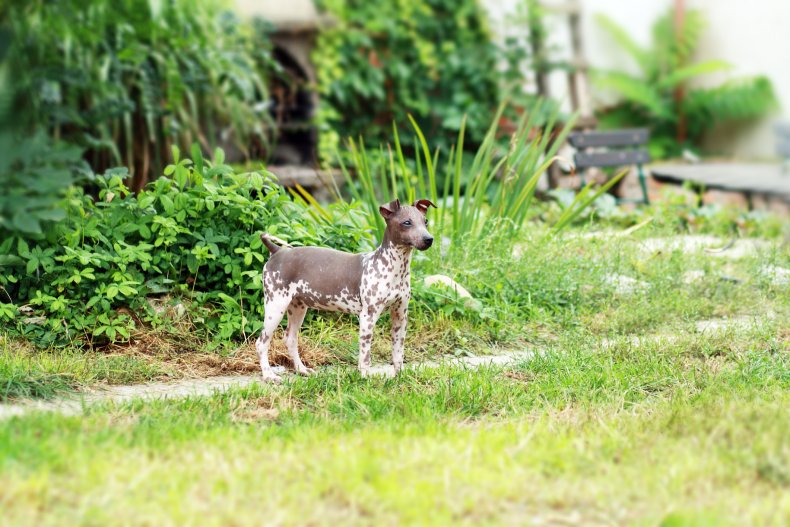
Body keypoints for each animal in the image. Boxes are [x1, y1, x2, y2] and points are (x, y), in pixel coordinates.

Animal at [256, 199, 436, 384]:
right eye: (406, 222)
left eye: (425, 222)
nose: (429, 239)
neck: (394, 268)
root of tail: (277, 251)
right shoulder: (367, 317)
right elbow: (365, 356)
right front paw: (364, 378)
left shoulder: (400, 315)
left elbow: (398, 353)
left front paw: (399, 378)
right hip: (275, 306)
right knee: (261, 342)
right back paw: (269, 375)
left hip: (297, 307)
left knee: (290, 339)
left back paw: (302, 370)